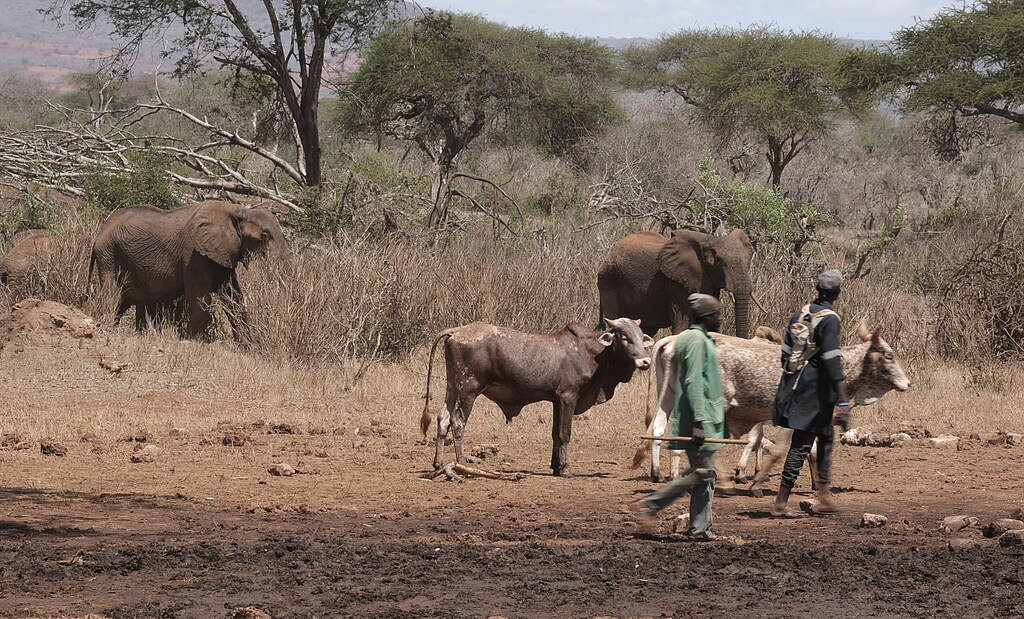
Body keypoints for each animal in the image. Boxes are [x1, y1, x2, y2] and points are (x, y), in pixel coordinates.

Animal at [89, 200, 285, 337]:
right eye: (265, 236)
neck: (237, 210)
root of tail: (99, 233)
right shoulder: (195, 255)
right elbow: (200, 298)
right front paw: (193, 340)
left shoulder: (224, 252)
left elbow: (233, 297)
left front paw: (247, 346)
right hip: (109, 255)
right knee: (112, 295)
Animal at [420, 318, 654, 477]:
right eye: (623, 336)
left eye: (641, 336)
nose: (645, 361)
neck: (591, 352)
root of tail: (457, 331)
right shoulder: (568, 397)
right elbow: (565, 434)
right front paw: (565, 469)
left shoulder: (556, 401)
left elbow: (555, 434)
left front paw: (556, 466)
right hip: (469, 389)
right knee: (457, 422)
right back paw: (461, 463)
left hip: (453, 387)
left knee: (442, 419)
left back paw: (438, 463)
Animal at [597, 228, 754, 339]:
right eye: (718, 262)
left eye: (749, 260)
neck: (710, 240)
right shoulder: (676, 283)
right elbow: (682, 323)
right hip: (609, 282)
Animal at [635, 324, 910, 489]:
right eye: (889, 355)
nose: (907, 383)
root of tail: (674, 340)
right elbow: (772, 447)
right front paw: (751, 478)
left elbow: (804, 450)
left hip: (668, 395)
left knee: (659, 430)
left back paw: (658, 473)